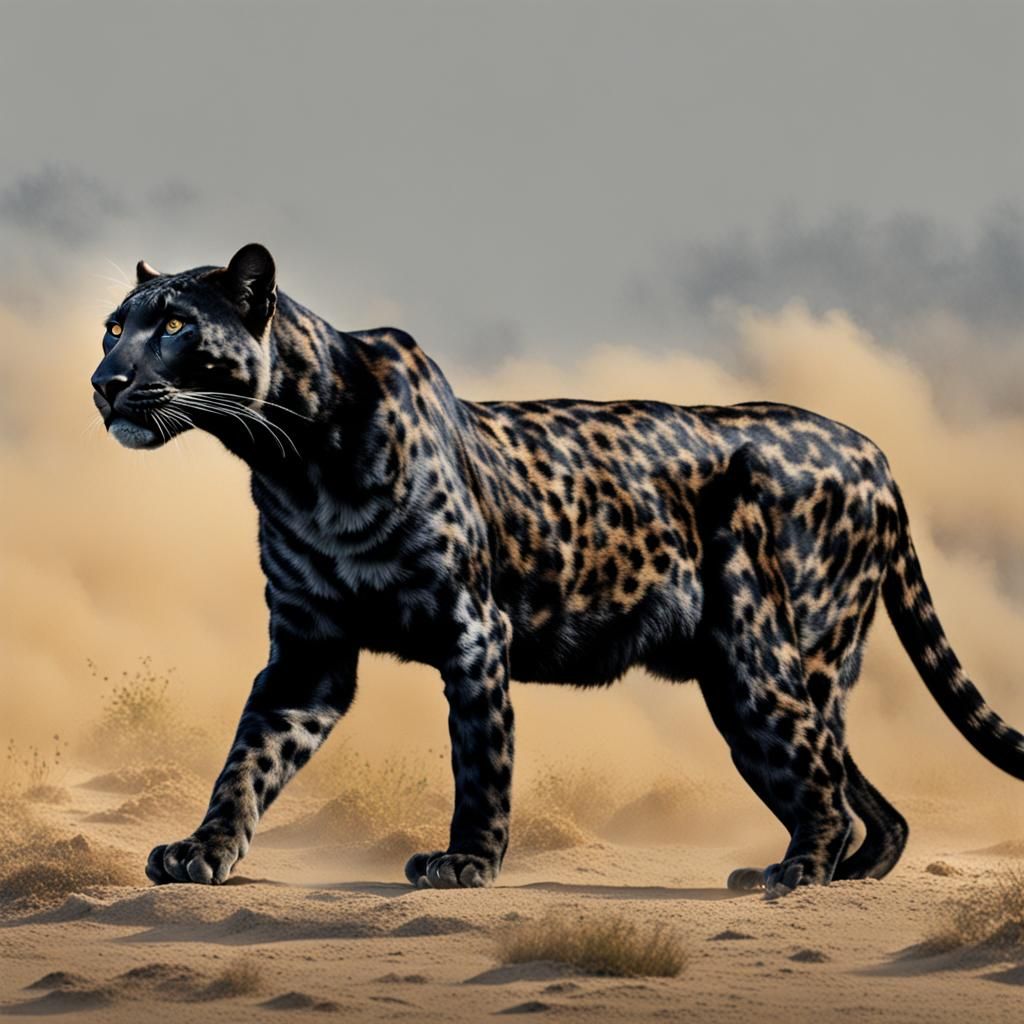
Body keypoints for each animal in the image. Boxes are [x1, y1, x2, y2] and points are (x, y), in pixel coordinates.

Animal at [91, 243, 1023, 897]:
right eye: (113, 326)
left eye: (174, 325)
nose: (104, 381)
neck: (294, 457)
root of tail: (875, 452)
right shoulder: (307, 652)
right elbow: (247, 760)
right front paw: (203, 851)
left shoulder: (473, 631)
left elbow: (480, 759)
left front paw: (465, 863)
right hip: (787, 675)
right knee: (866, 796)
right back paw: (835, 875)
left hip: (761, 664)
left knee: (819, 774)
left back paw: (795, 875)